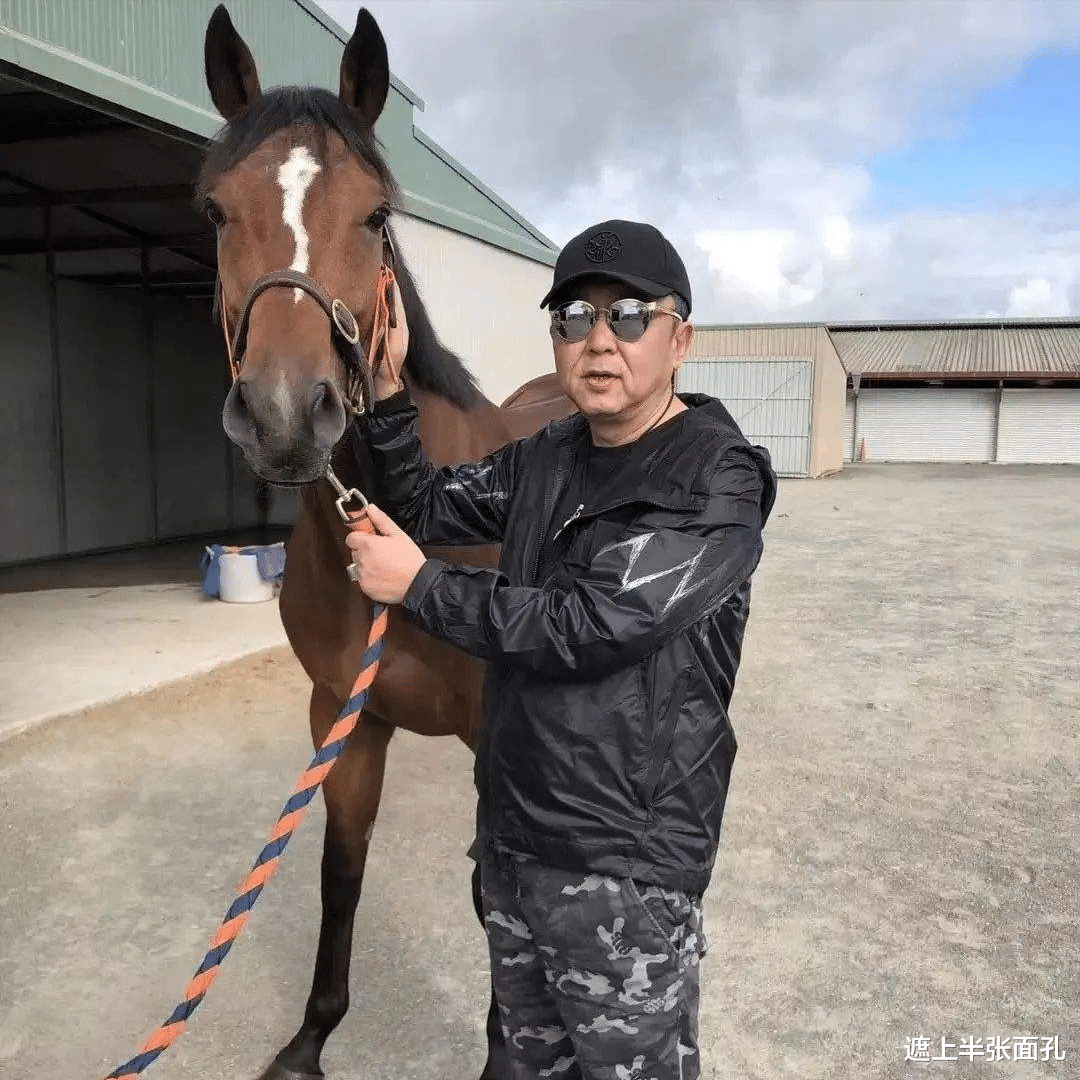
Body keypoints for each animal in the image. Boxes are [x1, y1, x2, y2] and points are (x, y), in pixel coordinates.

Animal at [200, 6, 571, 1078]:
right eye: (216, 211)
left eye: (374, 216)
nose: (285, 416)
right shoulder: (343, 717)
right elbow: (340, 872)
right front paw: (310, 1038)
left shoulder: (493, 732)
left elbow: (497, 899)